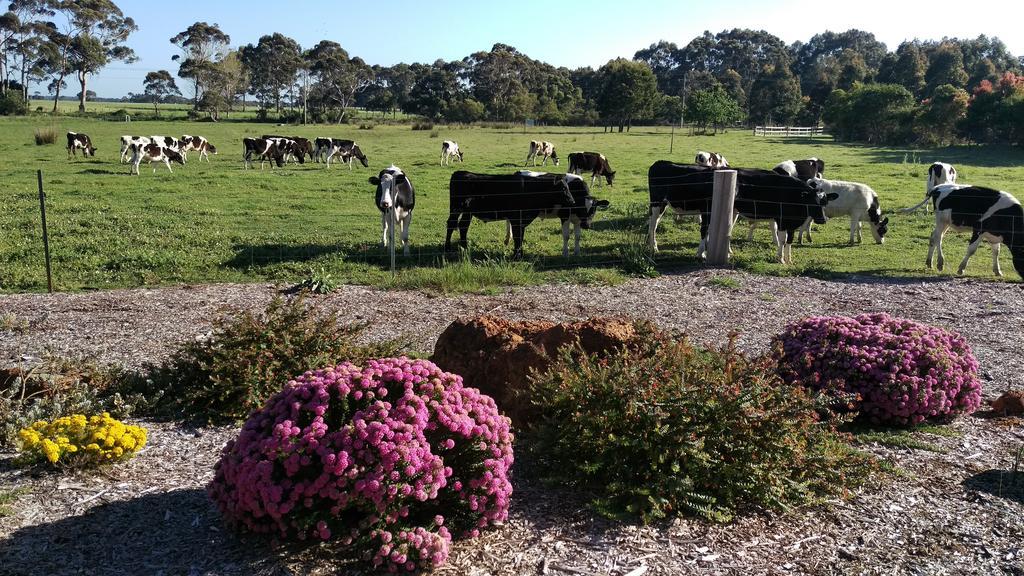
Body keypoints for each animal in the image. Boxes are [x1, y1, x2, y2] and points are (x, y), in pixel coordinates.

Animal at [446, 169, 606, 256]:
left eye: (594, 210)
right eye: (563, 189)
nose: (587, 225)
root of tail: (461, 173)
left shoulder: (577, 219)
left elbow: (577, 236)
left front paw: (577, 253)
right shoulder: (564, 216)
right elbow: (566, 236)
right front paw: (565, 254)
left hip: (468, 212)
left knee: (463, 226)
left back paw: (465, 247)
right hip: (456, 209)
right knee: (451, 224)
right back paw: (448, 248)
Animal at [647, 158, 839, 262]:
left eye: (824, 202)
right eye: (812, 202)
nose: (822, 219)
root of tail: (660, 163)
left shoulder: (789, 221)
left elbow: (788, 240)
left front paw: (787, 258)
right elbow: (782, 239)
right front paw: (701, 253)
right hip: (657, 203)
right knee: (653, 224)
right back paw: (653, 247)